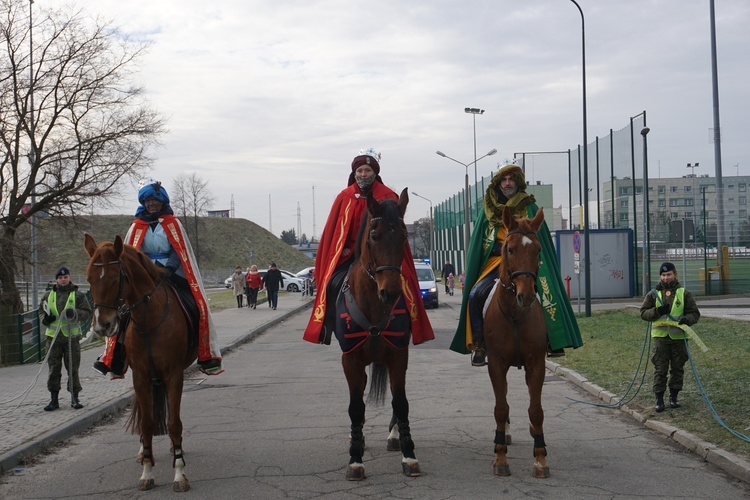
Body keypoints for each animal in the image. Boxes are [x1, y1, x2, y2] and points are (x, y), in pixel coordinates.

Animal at [85, 235, 197, 492]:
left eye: (116, 279)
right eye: (89, 279)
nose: (102, 326)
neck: (149, 318)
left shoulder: (174, 374)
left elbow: (174, 423)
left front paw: (179, 474)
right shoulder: (141, 376)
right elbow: (146, 423)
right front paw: (147, 470)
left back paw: (174, 448)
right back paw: (143, 450)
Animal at [340, 188, 424, 480]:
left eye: (403, 236)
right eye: (374, 236)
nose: (391, 292)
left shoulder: (398, 356)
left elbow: (401, 403)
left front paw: (409, 454)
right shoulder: (351, 360)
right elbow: (355, 407)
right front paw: (355, 458)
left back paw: (394, 435)